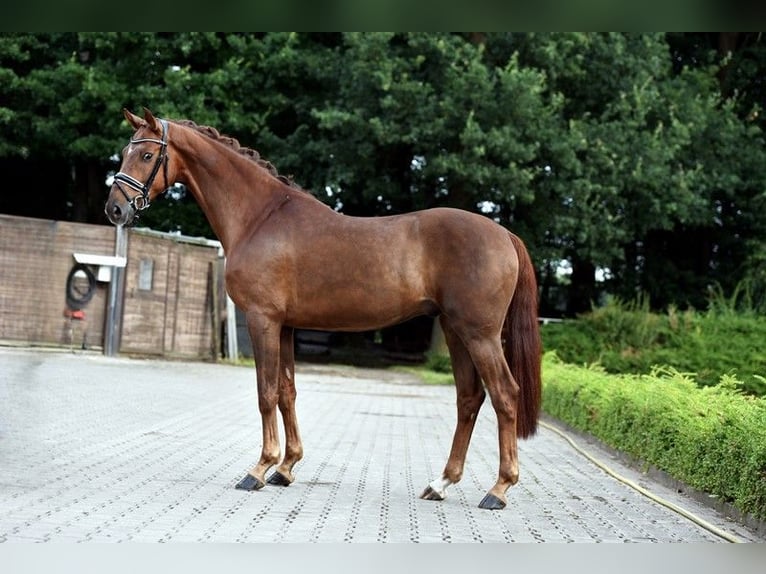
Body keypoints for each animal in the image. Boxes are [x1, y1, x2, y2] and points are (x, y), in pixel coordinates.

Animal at [105, 109, 544, 512]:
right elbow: (287, 392)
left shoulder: (263, 320)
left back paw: (498, 489)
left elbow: (266, 392)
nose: (115, 210)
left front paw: (259, 469)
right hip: (456, 332)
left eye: (146, 155)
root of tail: (503, 233)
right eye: (125, 152)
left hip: (480, 335)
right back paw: (441, 483)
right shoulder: (285, 326)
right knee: (469, 398)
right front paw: (286, 467)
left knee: (505, 395)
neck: (260, 217)